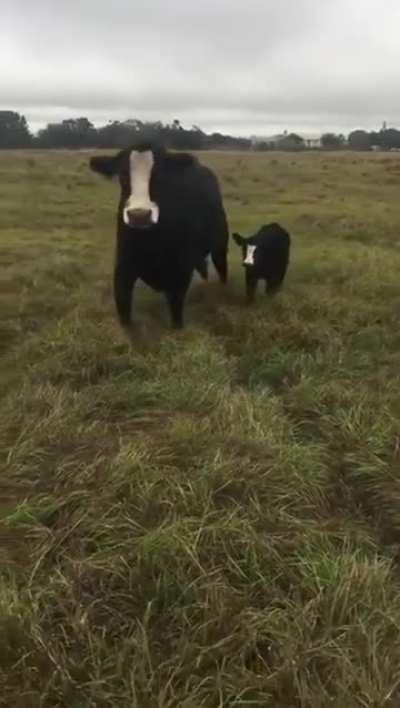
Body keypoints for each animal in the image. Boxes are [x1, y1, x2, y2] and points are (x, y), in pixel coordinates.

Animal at [89, 143, 229, 330]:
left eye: (160, 176)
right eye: (123, 175)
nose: (139, 216)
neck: (151, 242)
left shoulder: (181, 271)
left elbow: (176, 314)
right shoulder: (123, 268)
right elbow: (124, 311)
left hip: (220, 246)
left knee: (221, 269)